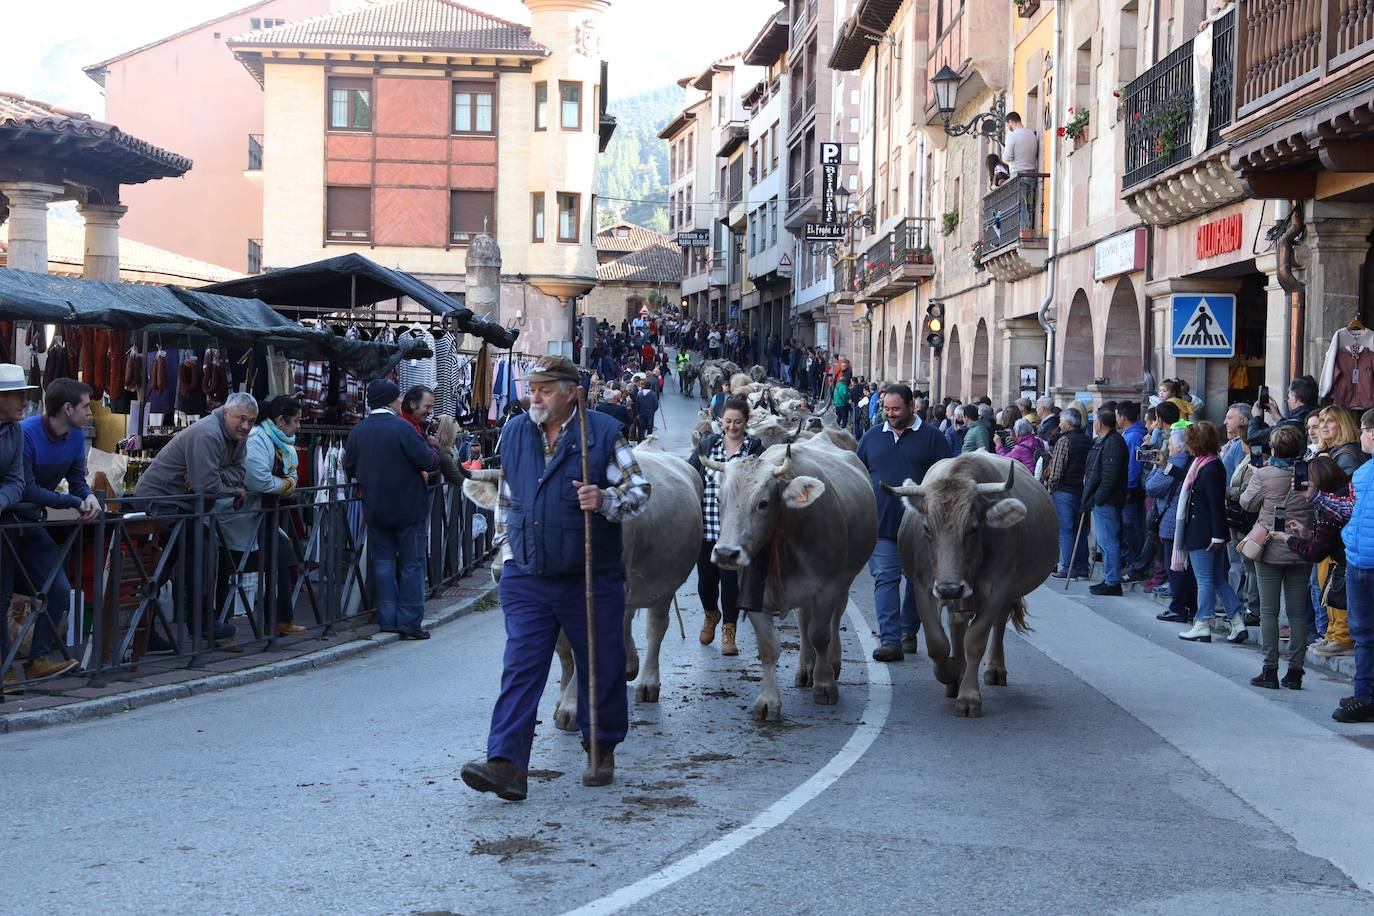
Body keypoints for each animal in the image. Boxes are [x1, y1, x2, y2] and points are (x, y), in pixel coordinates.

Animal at [703, 433, 873, 719]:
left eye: (763, 503)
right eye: (718, 500)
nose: (726, 553)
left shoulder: (827, 588)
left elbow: (821, 635)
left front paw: (825, 685)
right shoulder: (754, 597)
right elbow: (769, 647)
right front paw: (768, 701)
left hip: (844, 581)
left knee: (833, 620)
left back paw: (832, 664)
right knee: (803, 622)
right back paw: (805, 669)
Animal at [884, 455, 1055, 719]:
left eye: (973, 528)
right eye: (926, 528)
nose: (950, 589)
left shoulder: (997, 588)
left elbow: (975, 641)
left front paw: (969, 697)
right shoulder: (924, 587)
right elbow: (937, 643)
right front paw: (952, 672)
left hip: (1006, 592)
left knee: (998, 625)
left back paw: (994, 669)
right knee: (957, 624)